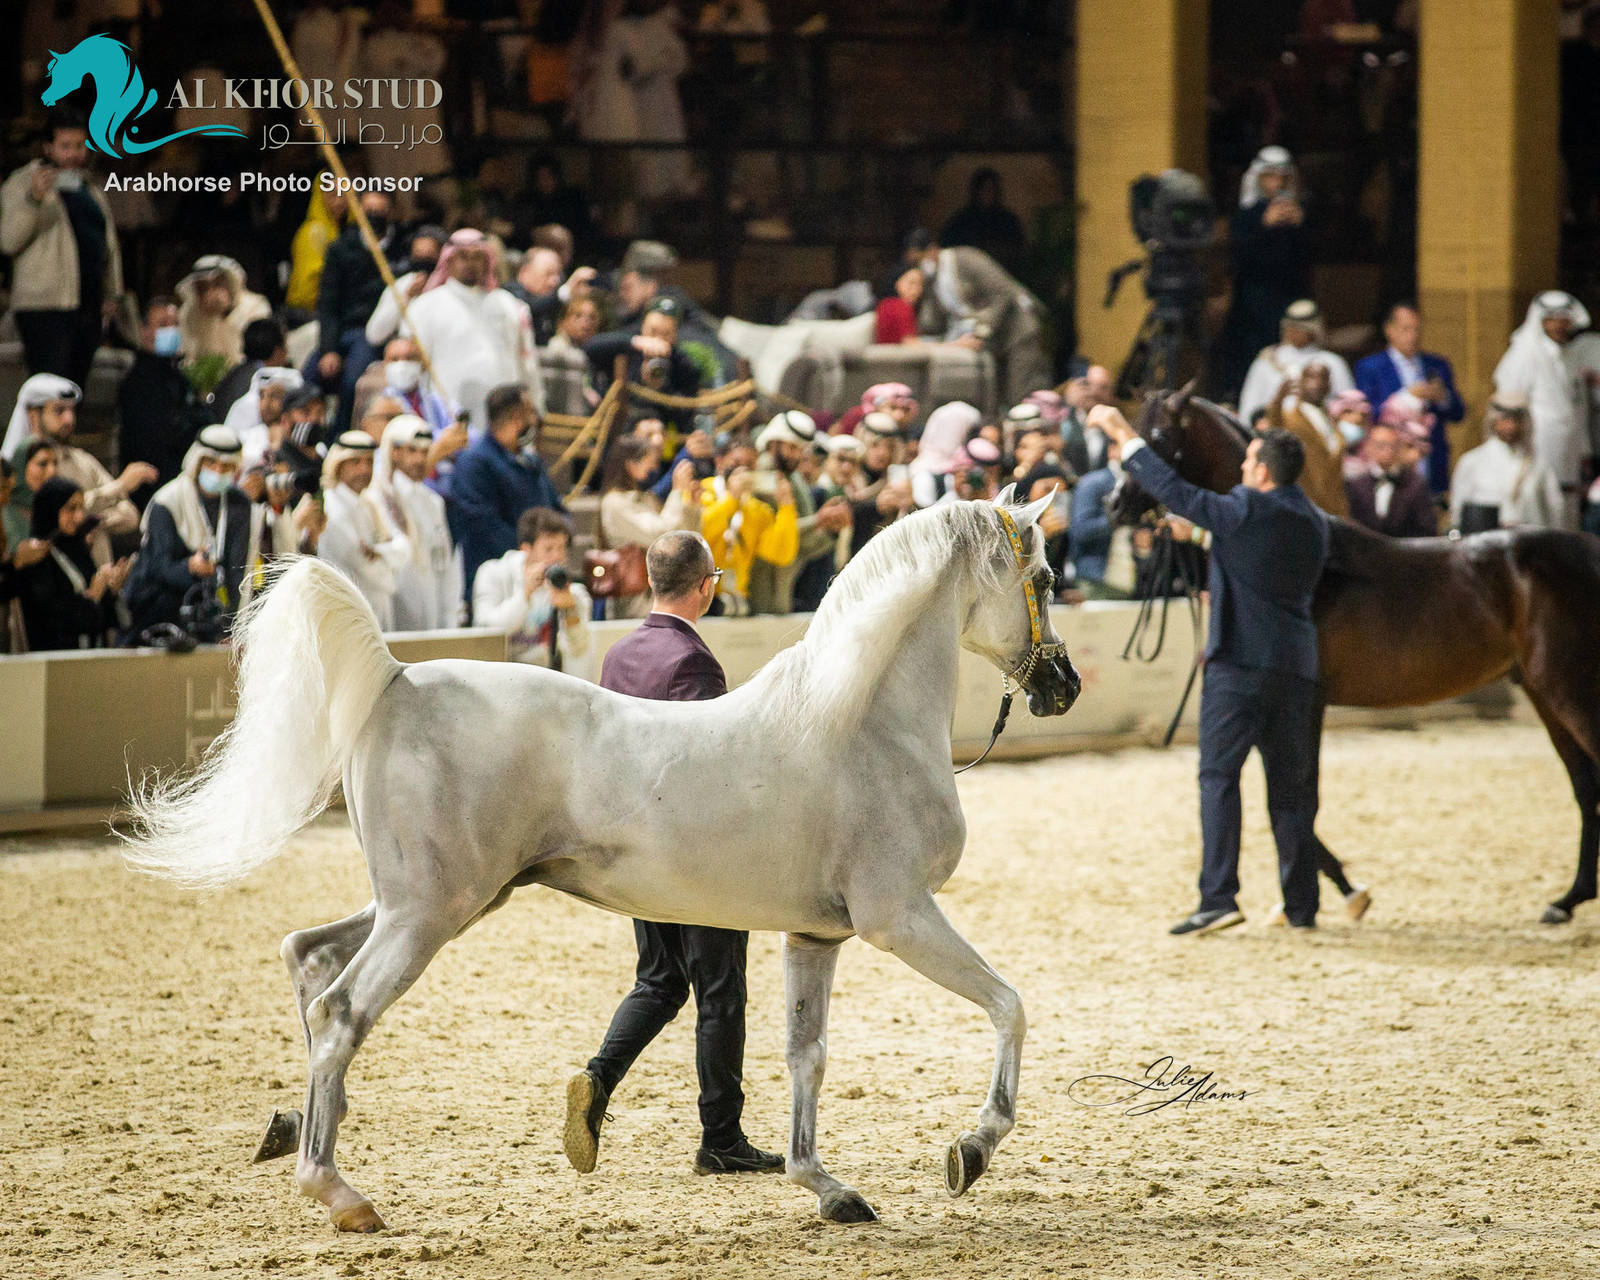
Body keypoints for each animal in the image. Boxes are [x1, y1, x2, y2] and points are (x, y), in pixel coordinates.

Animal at [121, 490, 1081, 1233]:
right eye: (1041, 580)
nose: (1062, 685)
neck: (861, 723)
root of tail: (396, 679)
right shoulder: (900, 918)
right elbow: (1010, 1006)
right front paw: (971, 1150)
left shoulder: (816, 937)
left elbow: (806, 1058)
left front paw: (828, 1190)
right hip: (428, 913)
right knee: (341, 1009)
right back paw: (338, 1191)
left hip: (435, 901)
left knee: (308, 956)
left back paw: (293, 1127)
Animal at [1110, 384, 1600, 924]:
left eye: (1157, 435)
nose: (1115, 504)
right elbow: (1288, 795)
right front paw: (1331, 892)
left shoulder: (1305, 701)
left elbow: (1300, 795)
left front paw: (1337, 893)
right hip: (1543, 692)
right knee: (1585, 786)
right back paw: (1567, 900)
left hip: (1570, 688)